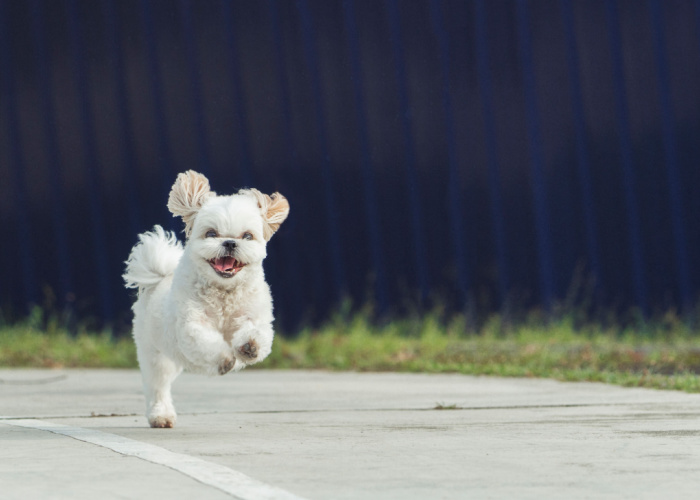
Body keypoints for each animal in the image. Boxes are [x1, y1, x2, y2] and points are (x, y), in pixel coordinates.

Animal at [123, 170, 290, 428]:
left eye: (247, 236)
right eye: (211, 233)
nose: (230, 242)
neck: (223, 293)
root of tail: (160, 278)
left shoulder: (255, 317)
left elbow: (255, 332)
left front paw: (249, 346)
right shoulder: (192, 326)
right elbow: (207, 342)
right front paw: (224, 359)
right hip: (155, 355)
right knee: (158, 386)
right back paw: (161, 415)